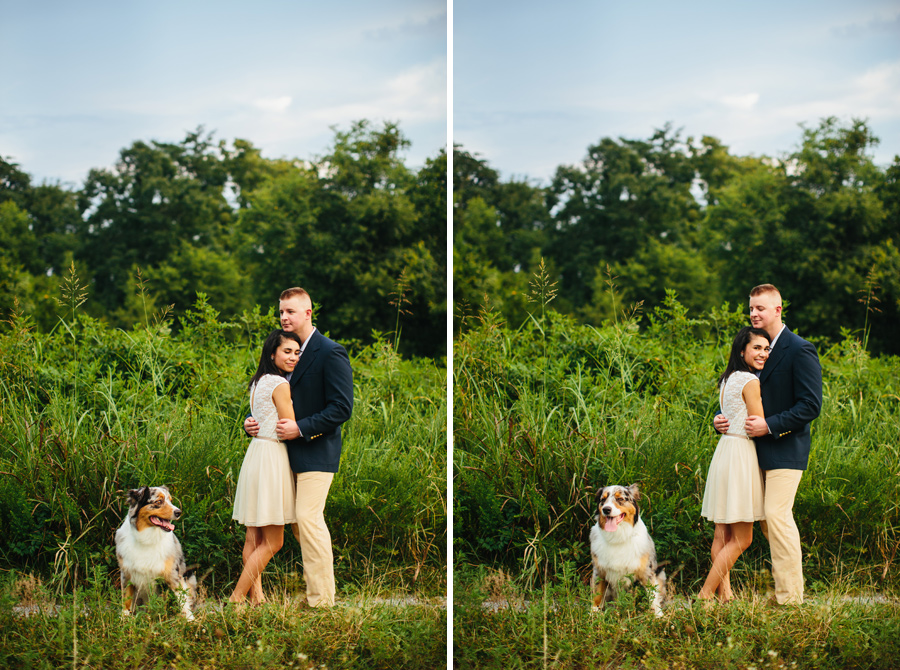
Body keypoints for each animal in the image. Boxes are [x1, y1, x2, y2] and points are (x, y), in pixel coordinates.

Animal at [114, 486, 197, 624]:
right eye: (159, 501)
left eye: (170, 500)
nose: (179, 512)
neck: (147, 539)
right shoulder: (126, 573)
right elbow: (126, 599)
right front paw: (124, 620)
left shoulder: (173, 574)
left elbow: (182, 600)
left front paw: (191, 621)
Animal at [592, 486, 668, 616]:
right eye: (603, 499)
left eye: (620, 499)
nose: (606, 509)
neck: (617, 538)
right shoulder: (599, 570)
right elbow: (597, 594)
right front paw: (592, 614)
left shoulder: (646, 571)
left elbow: (652, 596)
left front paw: (658, 616)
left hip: (660, 573)